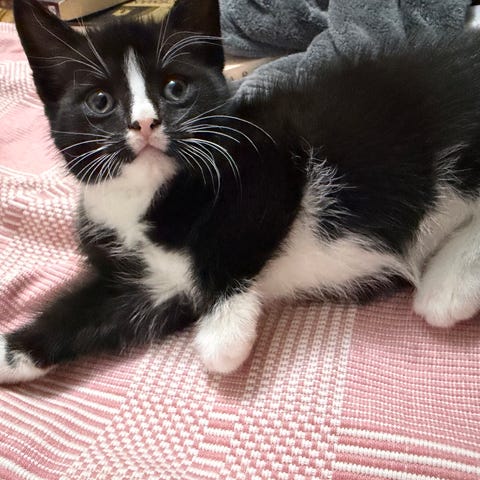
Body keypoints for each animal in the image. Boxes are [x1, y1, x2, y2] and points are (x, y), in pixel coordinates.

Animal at [2, 0, 480, 383]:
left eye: (176, 88)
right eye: (100, 101)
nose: (145, 123)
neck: (147, 197)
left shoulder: (273, 156)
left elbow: (231, 240)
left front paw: (224, 336)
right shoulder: (149, 283)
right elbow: (88, 313)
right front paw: (11, 355)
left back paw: (448, 285)